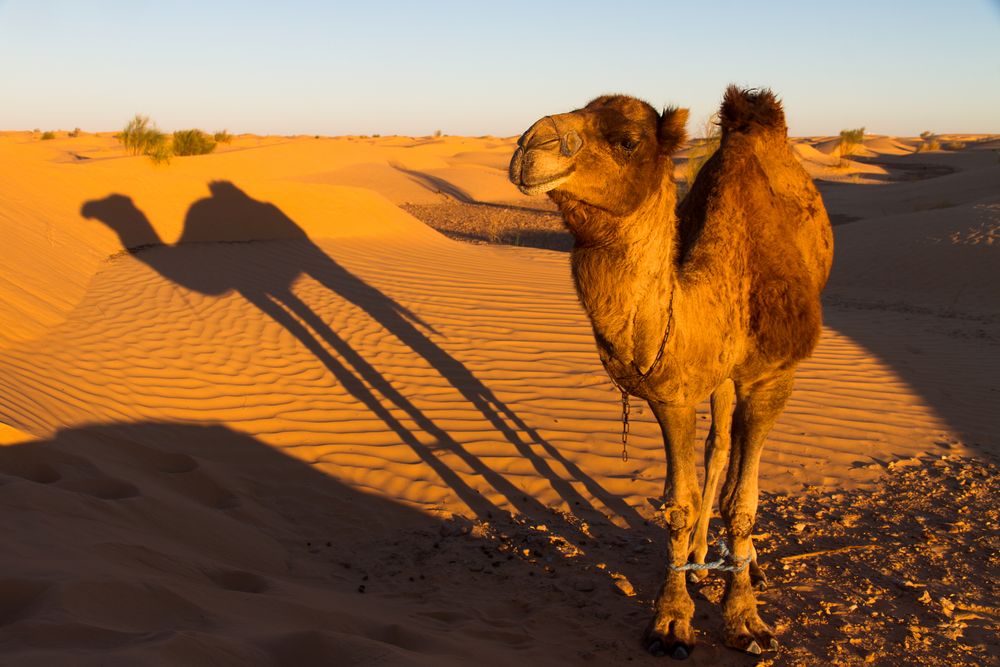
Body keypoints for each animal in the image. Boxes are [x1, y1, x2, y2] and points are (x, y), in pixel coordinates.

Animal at [512, 87, 832, 656]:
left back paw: (747, 562)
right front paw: (672, 619)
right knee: (719, 446)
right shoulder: (673, 391)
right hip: (719, 379)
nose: (530, 144)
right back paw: (708, 555)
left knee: (735, 456)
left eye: (627, 140)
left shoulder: (770, 379)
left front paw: (745, 617)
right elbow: (679, 505)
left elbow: (744, 504)